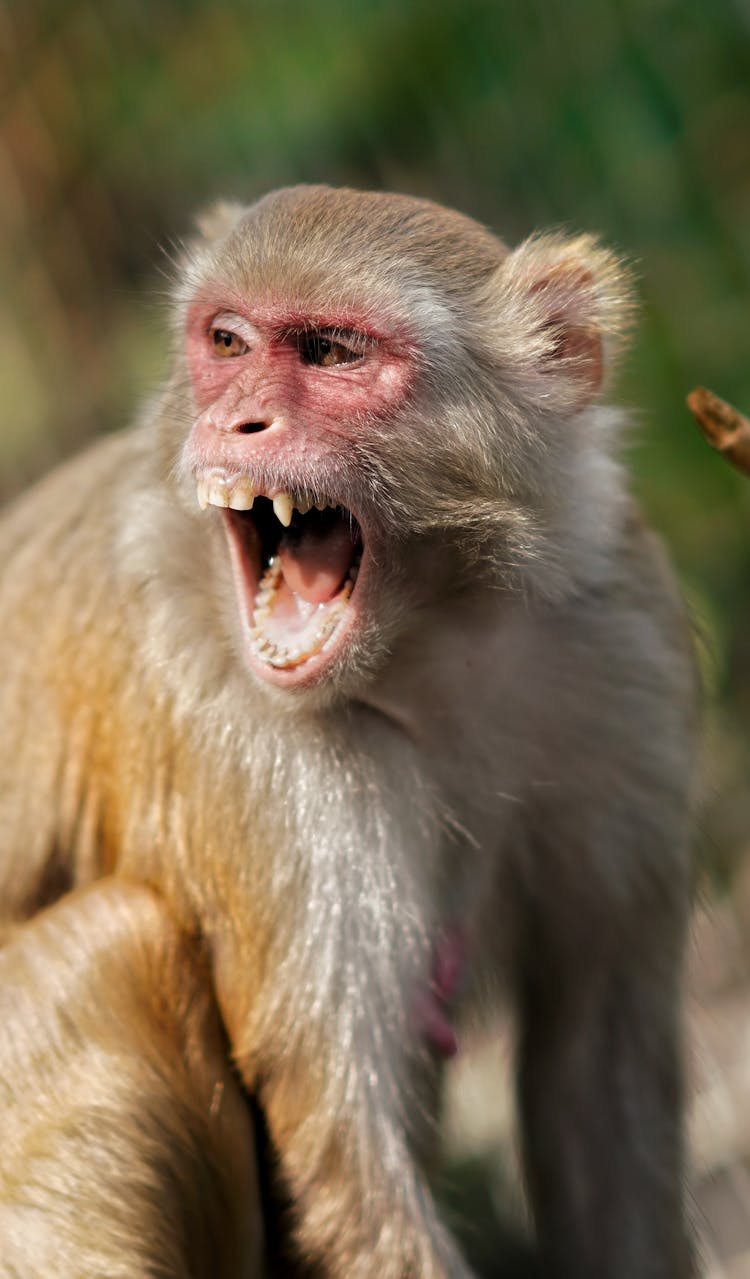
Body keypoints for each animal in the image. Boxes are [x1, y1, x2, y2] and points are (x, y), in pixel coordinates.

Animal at [0, 182, 696, 1279]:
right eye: (228, 340)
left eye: (331, 353)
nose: (234, 417)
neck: (428, 644)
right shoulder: (243, 729)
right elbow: (347, 1157)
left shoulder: (621, 633)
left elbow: (599, 1070)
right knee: (118, 942)